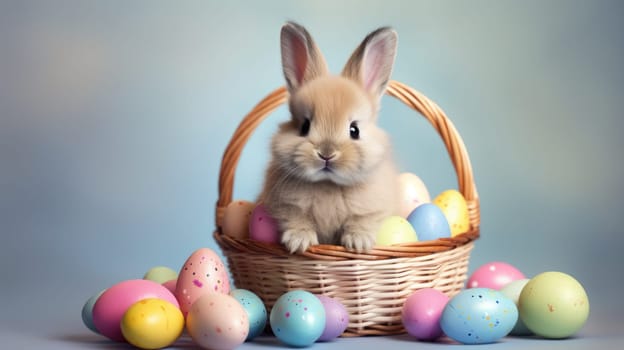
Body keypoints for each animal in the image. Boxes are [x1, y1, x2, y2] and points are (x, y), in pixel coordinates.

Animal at [258, 21, 400, 253]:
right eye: (304, 126)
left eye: (354, 130)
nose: (326, 154)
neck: (328, 185)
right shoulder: (285, 207)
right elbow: (296, 219)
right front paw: (299, 242)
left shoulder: (374, 211)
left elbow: (363, 221)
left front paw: (358, 242)